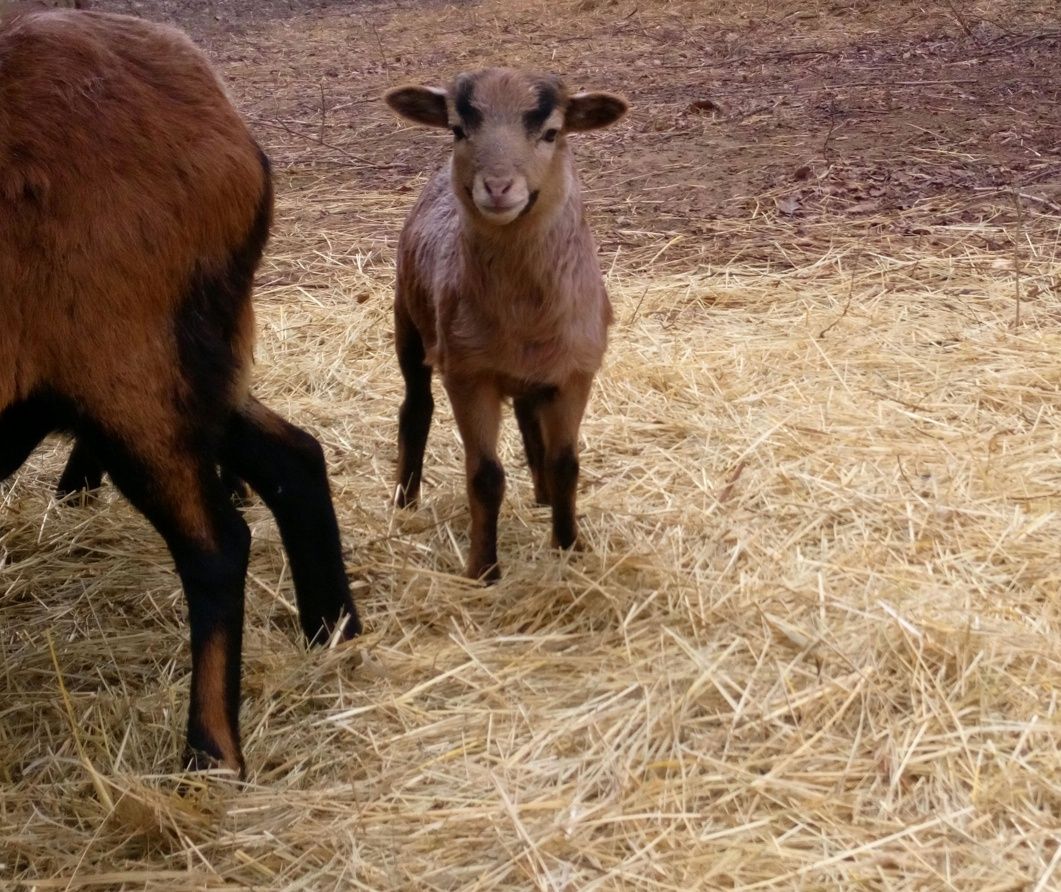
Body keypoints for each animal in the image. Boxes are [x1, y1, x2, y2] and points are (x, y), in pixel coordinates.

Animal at [384, 67, 623, 576]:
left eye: (552, 132)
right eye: (457, 130)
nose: (496, 187)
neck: (524, 314)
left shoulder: (575, 372)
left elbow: (565, 465)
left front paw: (569, 548)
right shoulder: (468, 374)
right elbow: (485, 477)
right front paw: (484, 570)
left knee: (529, 420)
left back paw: (542, 496)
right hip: (407, 321)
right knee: (415, 407)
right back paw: (404, 500)